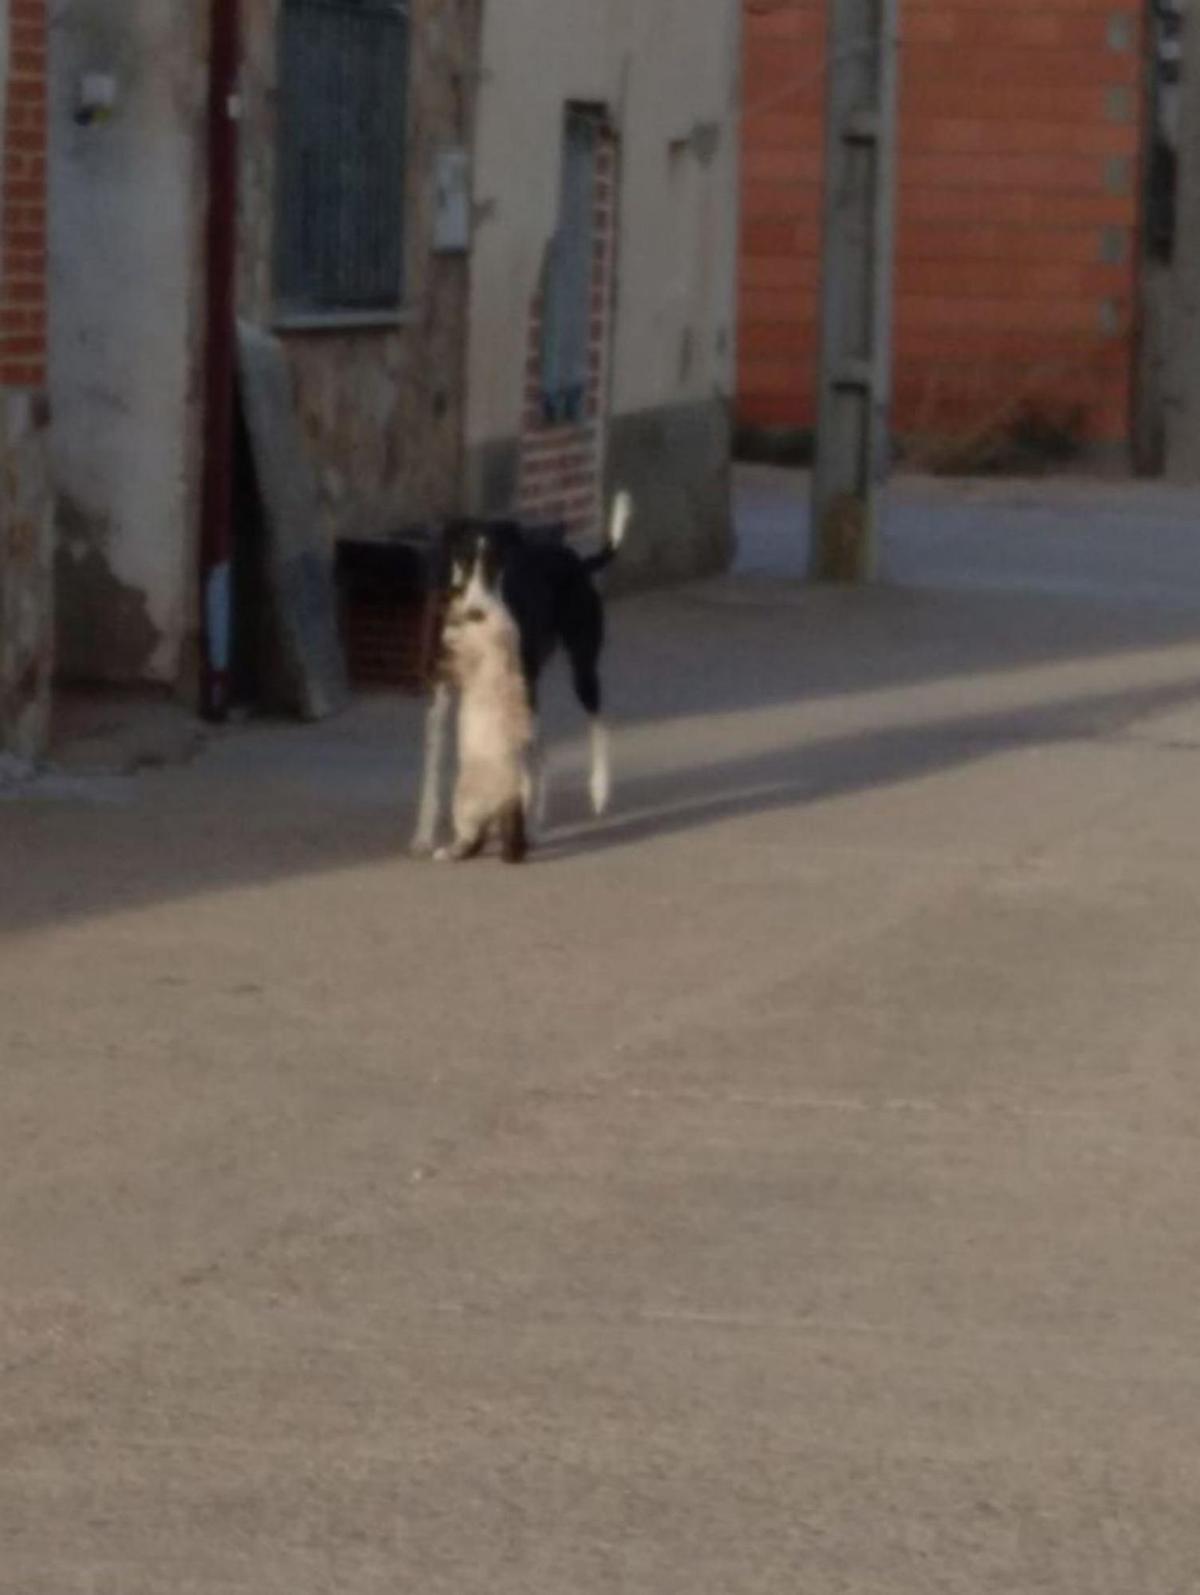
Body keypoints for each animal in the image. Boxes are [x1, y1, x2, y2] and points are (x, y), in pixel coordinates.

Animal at [411, 491, 631, 861]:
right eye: (463, 559)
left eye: (497, 561)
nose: (476, 613)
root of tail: (576, 559)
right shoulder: (440, 692)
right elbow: (432, 766)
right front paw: (424, 836)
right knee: (539, 750)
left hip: (580, 667)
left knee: (595, 722)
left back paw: (594, 791)